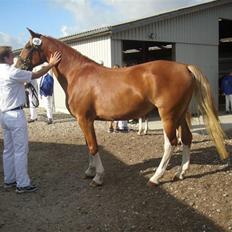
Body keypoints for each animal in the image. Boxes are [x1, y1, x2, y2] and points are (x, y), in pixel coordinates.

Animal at [16, 28, 228, 187]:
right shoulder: (84, 121)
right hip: (180, 114)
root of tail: (184, 67)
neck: (77, 74)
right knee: (186, 138)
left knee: (171, 143)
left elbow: (93, 146)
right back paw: (181, 173)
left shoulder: (85, 119)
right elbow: (88, 145)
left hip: (168, 116)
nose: (18, 67)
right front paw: (89, 171)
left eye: (28, 46)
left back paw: (155, 177)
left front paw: (98, 177)